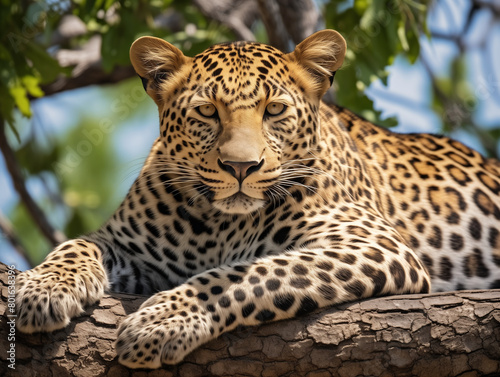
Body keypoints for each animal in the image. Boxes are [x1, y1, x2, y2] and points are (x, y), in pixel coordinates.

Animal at [14, 29, 500, 368]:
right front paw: (43, 287)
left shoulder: (373, 243)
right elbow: (78, 244)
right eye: (207, 112)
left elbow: (249, 273)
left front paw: (164, 320)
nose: (241, 167)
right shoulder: (126, 245)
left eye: (275, 110)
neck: (217, 225)